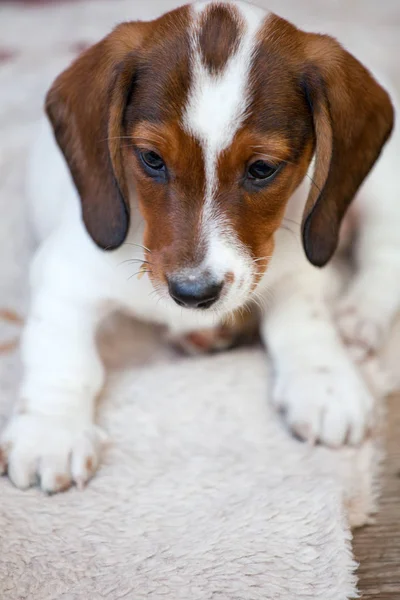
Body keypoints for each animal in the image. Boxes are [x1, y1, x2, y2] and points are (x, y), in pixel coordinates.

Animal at [0, 2, 396, 494]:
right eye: (152, 158)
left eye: (262, 168)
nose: (193, 294)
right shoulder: (64, 274)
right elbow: (61, 355)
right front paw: (50, 430)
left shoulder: (298, 264)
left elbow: (303, 319)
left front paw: (325, 380)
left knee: (383, 252)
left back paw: (358, 317)